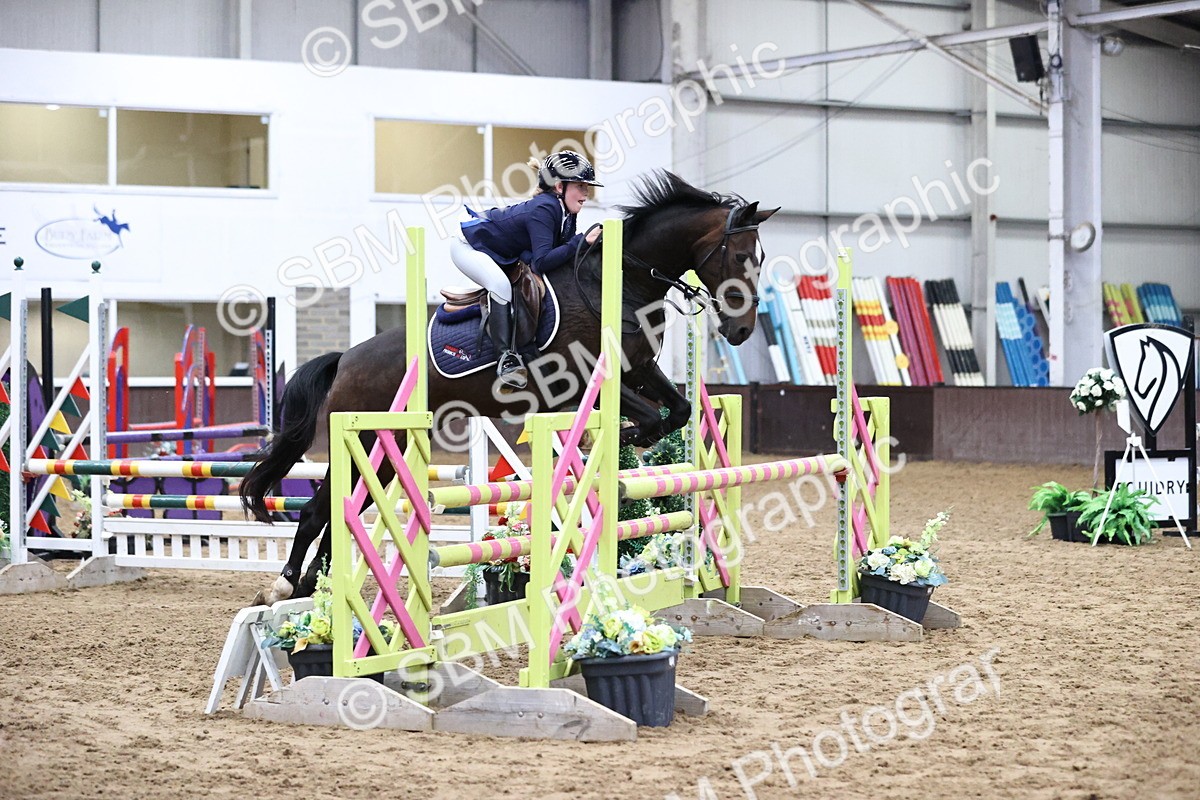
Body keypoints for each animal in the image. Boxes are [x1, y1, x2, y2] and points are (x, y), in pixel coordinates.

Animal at [240, 170, 777, 604]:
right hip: (367, 440)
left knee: (336, 513)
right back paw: (286, 586)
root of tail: (346, 360)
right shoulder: (582, 381)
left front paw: (622, 451)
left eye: (760, 257)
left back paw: (312, 586)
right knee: (317, 512)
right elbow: (645, 417)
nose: (741, 331)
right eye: (739, 255)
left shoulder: (637, 369)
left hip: (385, 457)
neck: (621, 281)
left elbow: (678, 411)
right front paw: (610, 447)